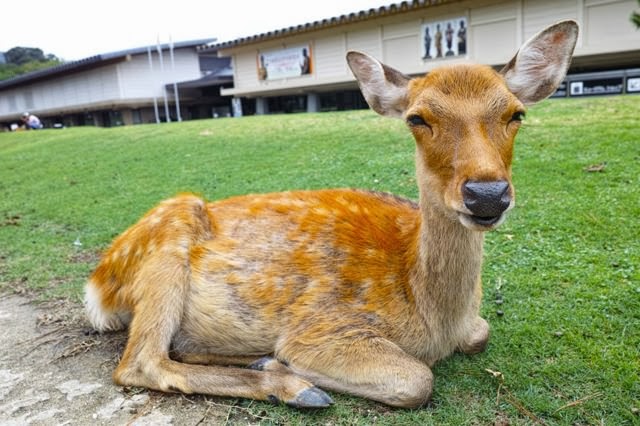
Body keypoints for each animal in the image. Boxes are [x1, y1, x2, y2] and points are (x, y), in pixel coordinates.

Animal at [84, 20, 580, 410]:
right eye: (417, 118)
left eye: (516, 114)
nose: (486, 194)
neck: (435, 318)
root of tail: (96, 288)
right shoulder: (325, 326)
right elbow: (417, 379)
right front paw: (297, 369)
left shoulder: (473, 327)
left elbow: (482, 333)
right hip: (166, 246)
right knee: (140, 362)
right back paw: (293, 385)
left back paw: (264, 360)